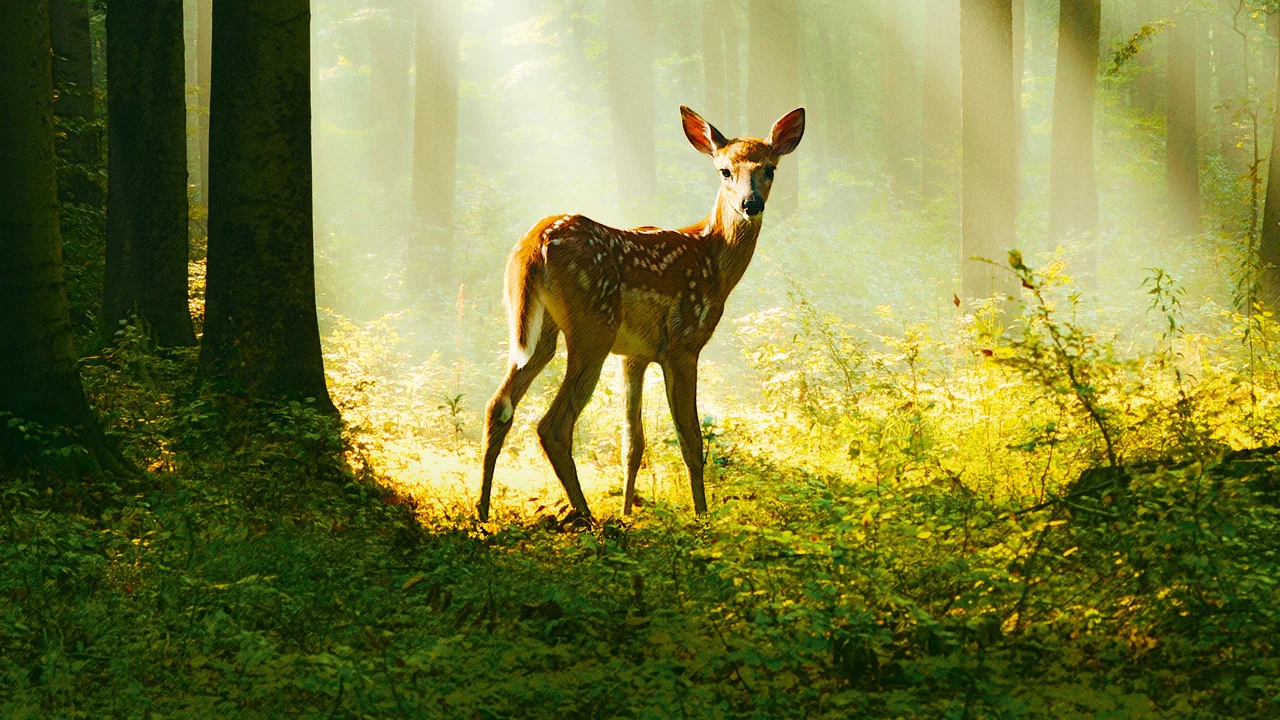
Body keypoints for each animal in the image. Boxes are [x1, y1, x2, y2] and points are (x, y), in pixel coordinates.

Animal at [478, 105, 805, 524]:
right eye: (724, 170)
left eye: (770, 168)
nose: (751, 205)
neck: (714, 260)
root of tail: (534, 243)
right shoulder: (684, 344)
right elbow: (690, 438)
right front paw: (701, 517)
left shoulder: (633, 356)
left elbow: (633, 443)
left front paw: (627, 512)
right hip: (593, 327)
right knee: (553, 425)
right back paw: (587, 518)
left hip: (534, 328)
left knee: (498, 406)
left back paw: (483, 512)